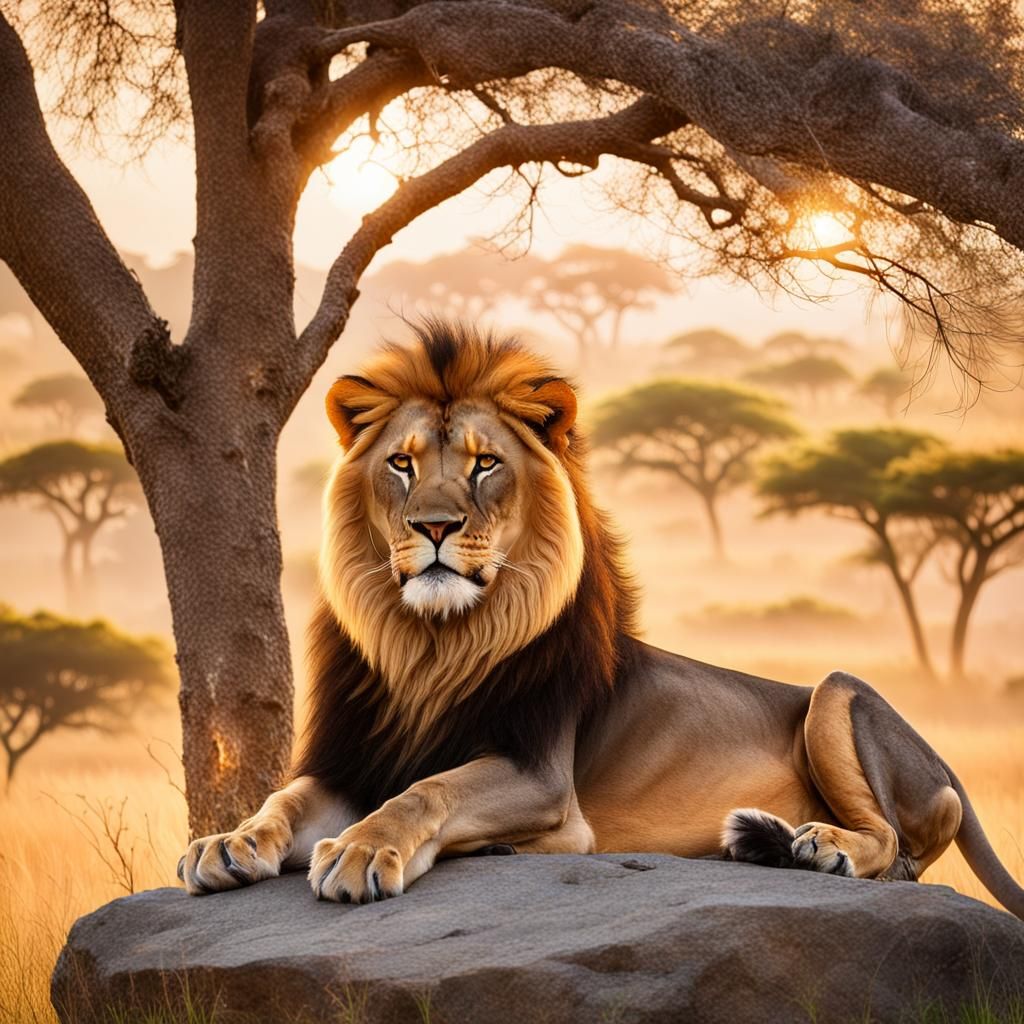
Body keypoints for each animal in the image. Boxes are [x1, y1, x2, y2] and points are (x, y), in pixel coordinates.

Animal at [179, 320, 1024, 919]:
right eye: (402, 463)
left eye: (485, 464)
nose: (435, 527)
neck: (431, 644)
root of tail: (948, 770)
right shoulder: (348, 762)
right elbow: (284, 799)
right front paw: (227, 842)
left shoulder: (541, 776)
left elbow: (429, 790)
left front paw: (361, 852)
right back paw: (767, 844)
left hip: (835, 691)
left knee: (895, 851)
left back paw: (822, 848)